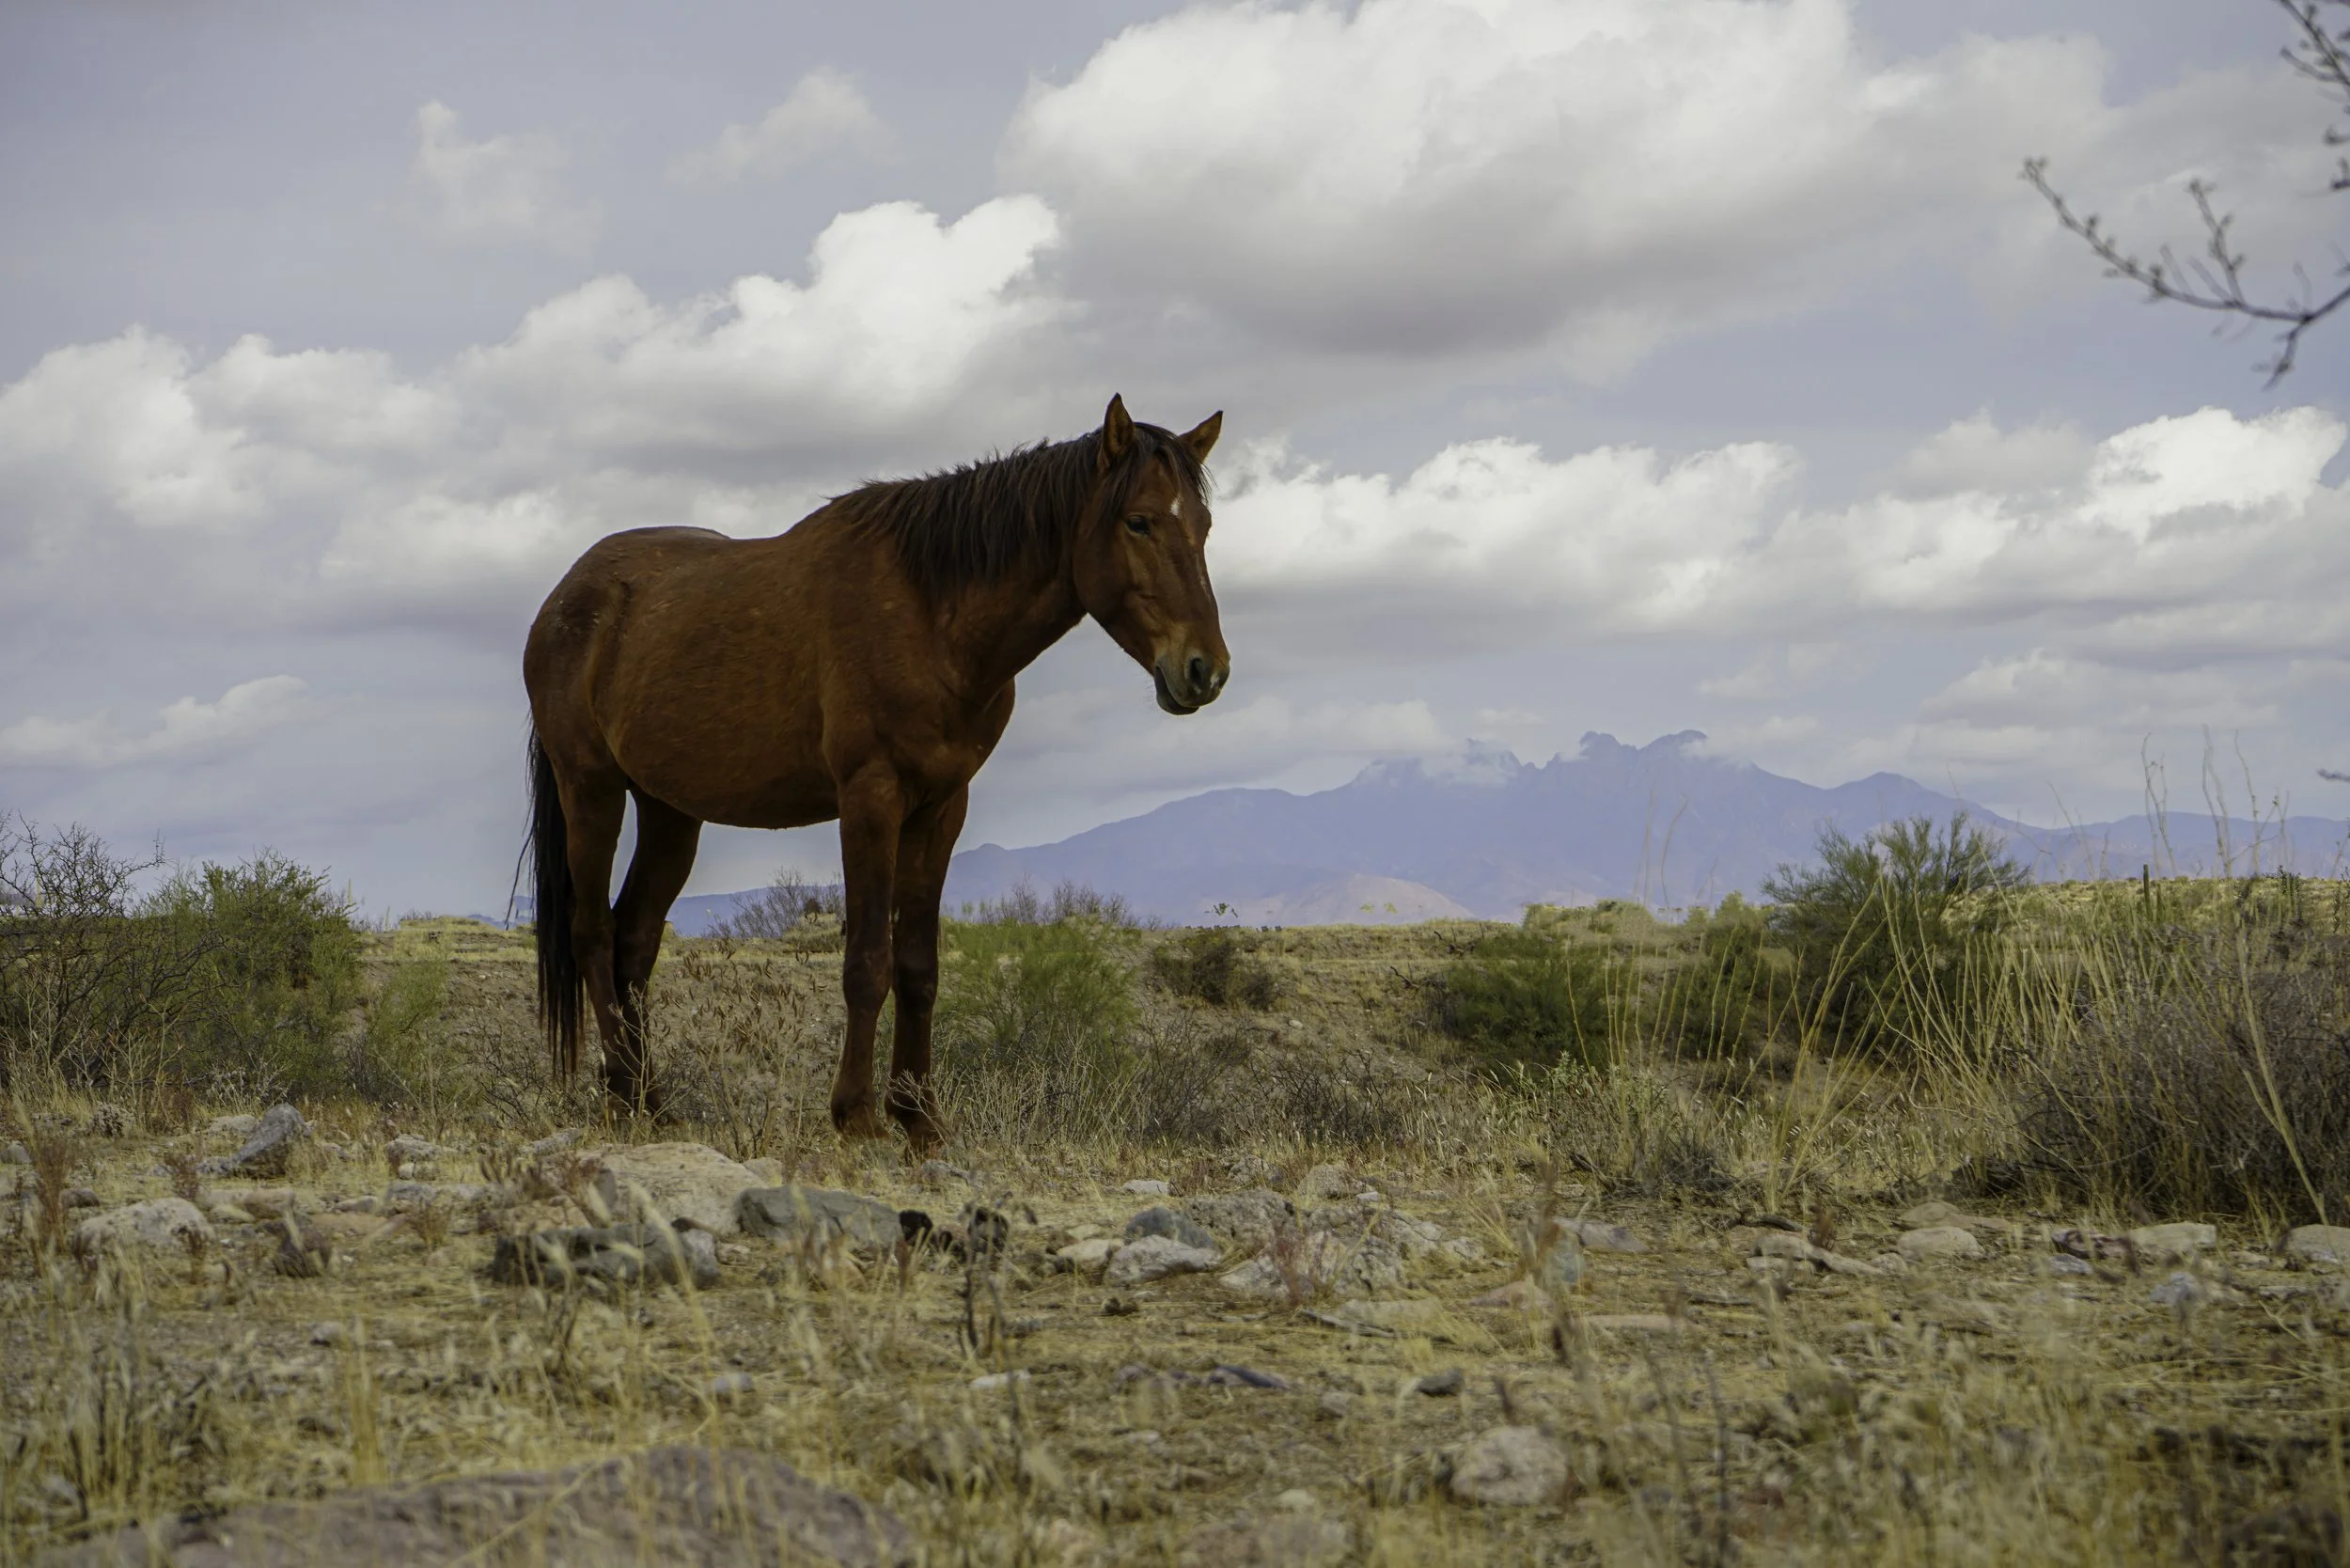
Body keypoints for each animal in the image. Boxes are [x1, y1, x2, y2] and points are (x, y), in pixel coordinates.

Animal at [522, 395, 1228, 1147]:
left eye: (1205, 525)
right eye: (1139, 521)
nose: (1204, 670)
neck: (930, 613)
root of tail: (565, 599)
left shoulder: (941, 807)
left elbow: (918, 967)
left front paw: (921, 1119)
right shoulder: (871, 799)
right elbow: (867, 962)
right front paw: (857, 1114)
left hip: (670, 812)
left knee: (634, 941)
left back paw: (650, 1100)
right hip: (590, 789)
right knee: (593, 935)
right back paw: (621, 1095)